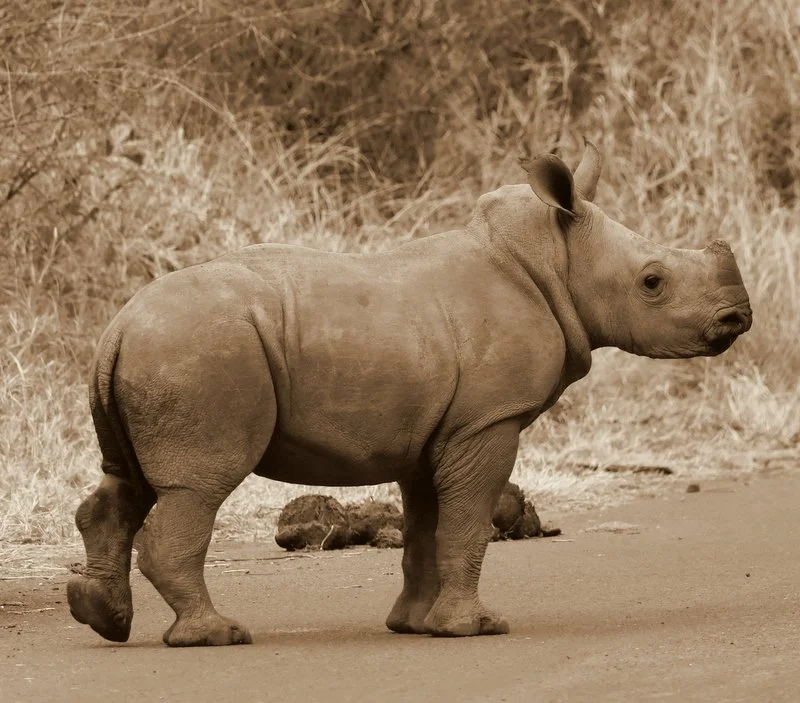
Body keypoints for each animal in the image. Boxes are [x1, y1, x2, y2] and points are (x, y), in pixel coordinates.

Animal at [67, 142, 752, 646]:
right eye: (652, 282)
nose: (738, 318)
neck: (553, 258)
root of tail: (117, 328)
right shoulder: (487, 422)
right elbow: (468, 523)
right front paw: (476, 629)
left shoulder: (434, 430)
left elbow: (427, 527)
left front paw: (415, 626)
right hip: (199, 354)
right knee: (198, 486)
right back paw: (218, 636)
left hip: (163, 352)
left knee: (125, 481)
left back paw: (103, 619)